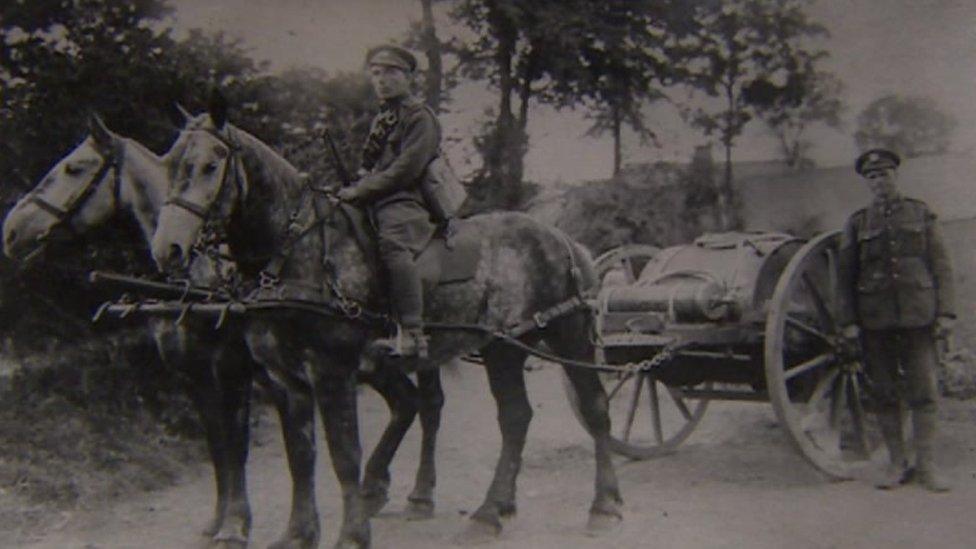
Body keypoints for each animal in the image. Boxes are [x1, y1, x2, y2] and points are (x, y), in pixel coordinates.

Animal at [0, 113, 446, 544]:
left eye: (73, 168)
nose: (11, 231)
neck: (198, 276)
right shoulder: (196, 375)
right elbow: (219, 445)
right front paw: (220, 520)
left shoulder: (234, 370)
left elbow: (236, 445)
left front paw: (235, 524)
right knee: (407, 403)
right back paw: (377, 489)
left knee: (429, 405)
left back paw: (419, 496)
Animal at [149, 95, 620, 548]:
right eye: (170, 164)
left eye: (210, 166)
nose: (167, 249)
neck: (296, 252)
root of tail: (563, 239)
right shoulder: (285, 380)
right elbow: (300, 455)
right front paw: (298, 534)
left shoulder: (332, 372)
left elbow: (344, 456)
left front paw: (352, 534)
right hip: (502, 348)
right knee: (515, 418)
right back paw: (490, 513)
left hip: (567, 338)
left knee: (594, 408)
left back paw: (604, 506)